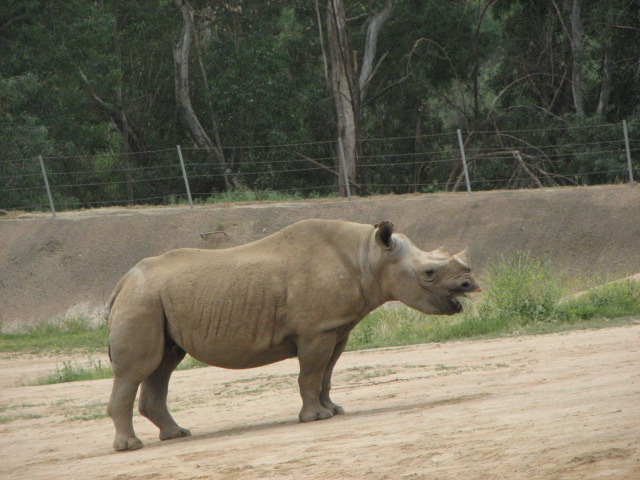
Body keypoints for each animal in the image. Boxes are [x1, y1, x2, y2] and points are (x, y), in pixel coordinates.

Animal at [107, 219, 481, 451]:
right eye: (429, 273)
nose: (470, 285)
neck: (368, 256)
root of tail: (122, 282)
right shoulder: (316, 330)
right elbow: (311, 373)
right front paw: (315, 418)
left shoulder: (336, 327)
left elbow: (326, 374)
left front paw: (334, 410)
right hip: (141, 300)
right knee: (139, 369)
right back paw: (131, 447)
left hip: (153, 300)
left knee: (163, 364)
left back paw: (177, 435)